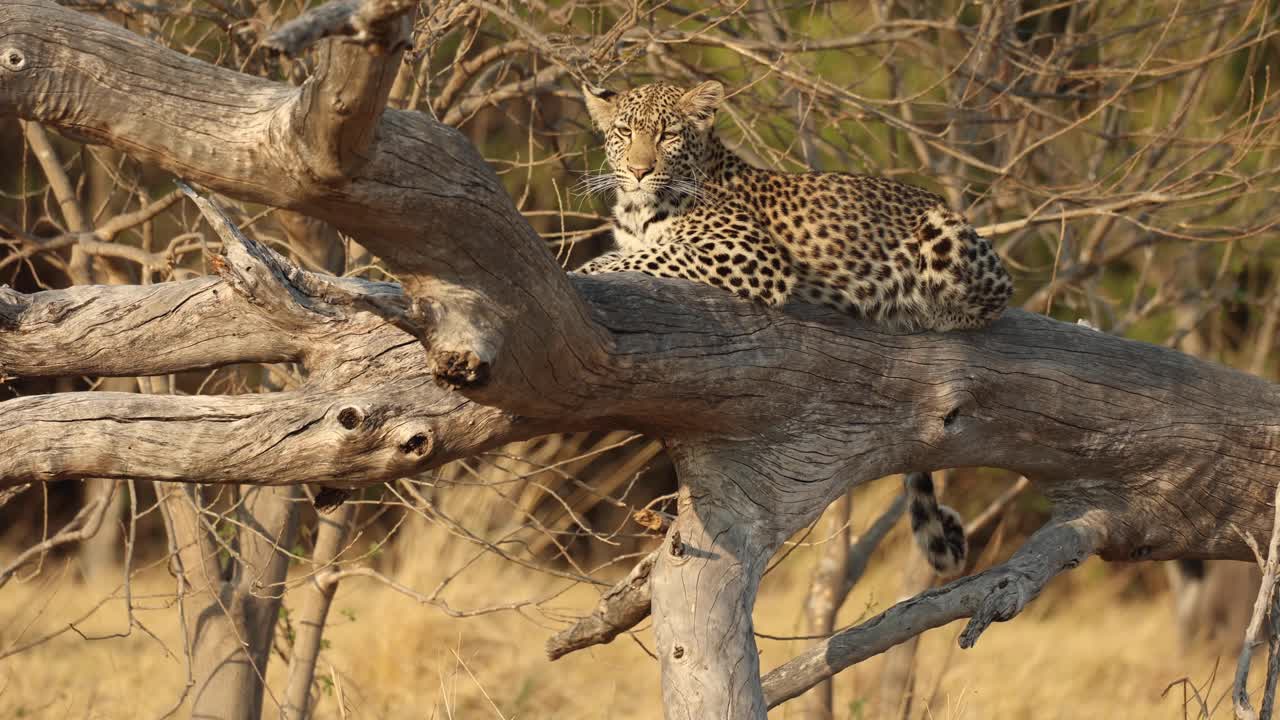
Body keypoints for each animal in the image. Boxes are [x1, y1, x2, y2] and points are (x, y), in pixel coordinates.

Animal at [576, 80, 1013, 576]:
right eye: (624, 132)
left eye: (668, 135)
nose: (638, 170)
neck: (637, 209)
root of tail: (942, 203)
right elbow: (628, 254)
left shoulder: (749, 251)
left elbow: (646, 256)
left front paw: (581, 270)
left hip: (947, 241)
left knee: (995, 298)